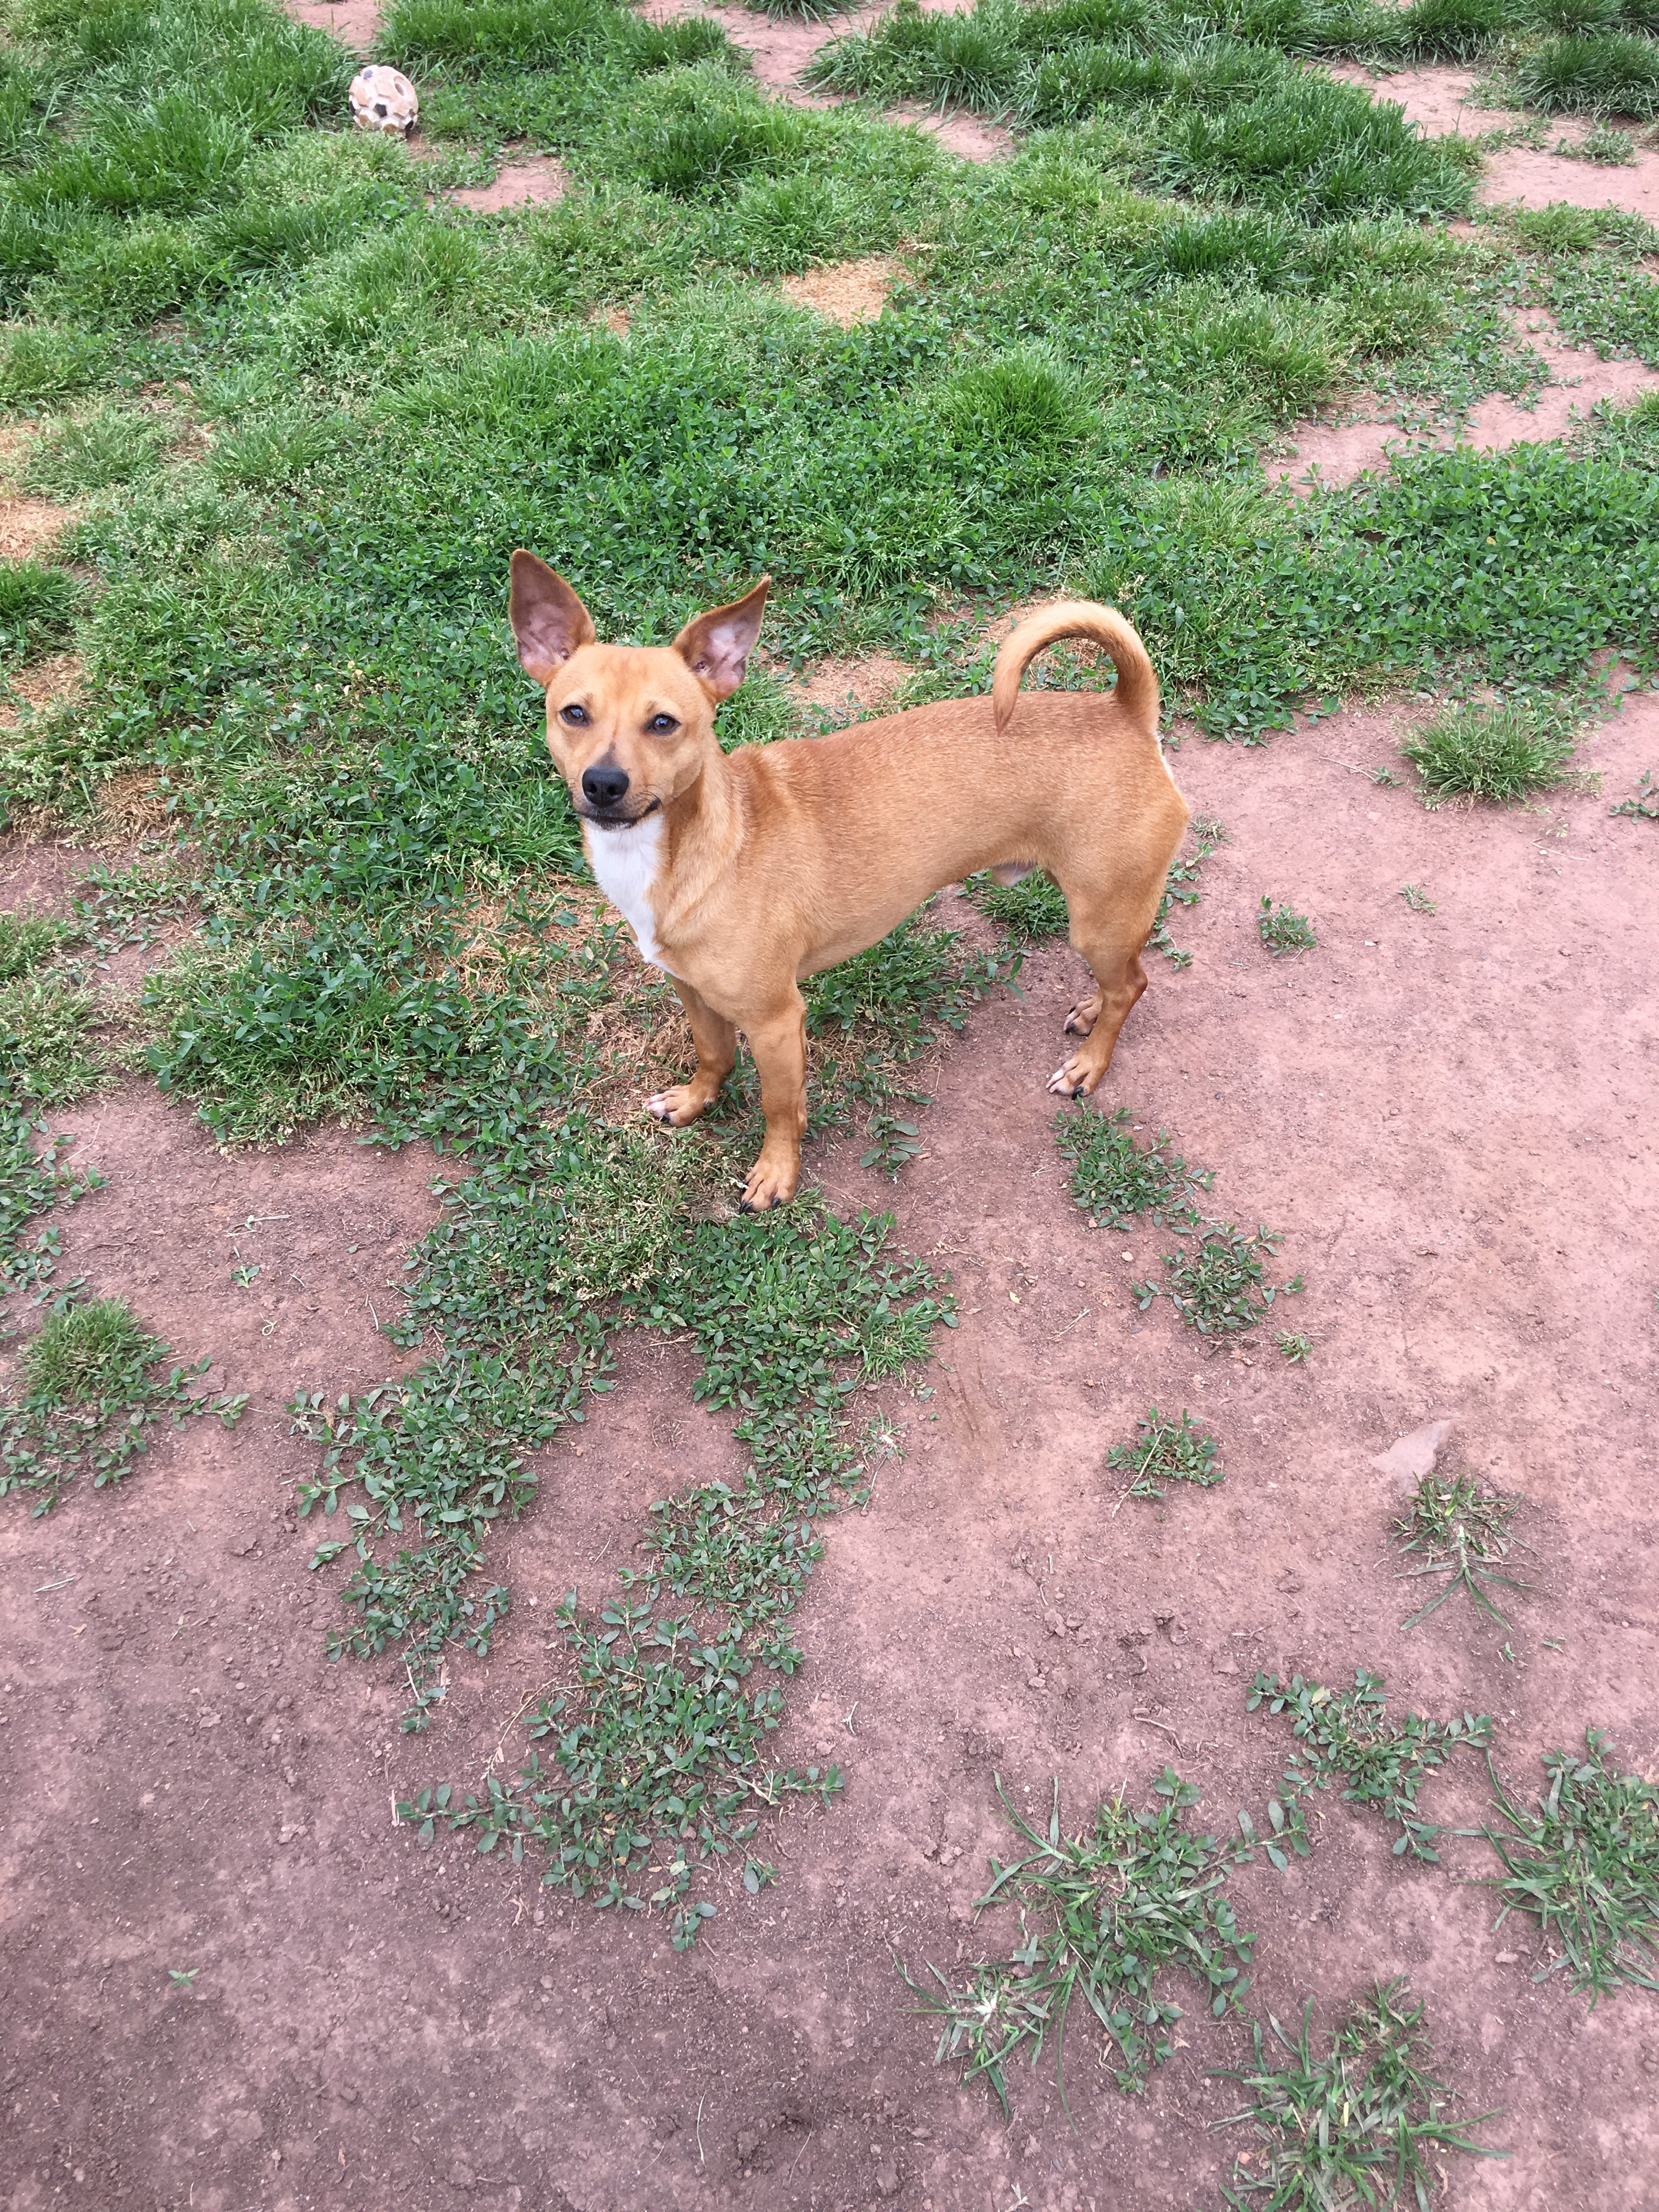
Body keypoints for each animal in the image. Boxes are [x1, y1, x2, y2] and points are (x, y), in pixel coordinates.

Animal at [513, 550, 1186, 1212]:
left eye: (663, 724)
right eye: (575, 714)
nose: (603, 783)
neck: (692, 845)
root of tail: (1124, 711)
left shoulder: (776, 1021)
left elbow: (780, 1107)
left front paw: (777, 1174)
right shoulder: (693, 992)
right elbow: (713, 1053)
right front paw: (696, 1100)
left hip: (1099, 917)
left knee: (1133, 985)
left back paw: (1088, 1065)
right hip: (1107, 922)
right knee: (1122, 982)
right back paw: (1091, 1010)